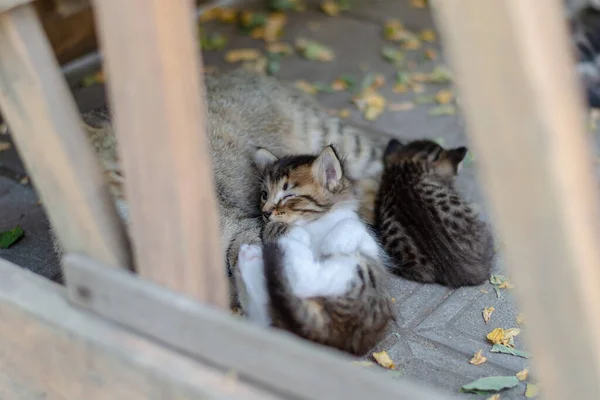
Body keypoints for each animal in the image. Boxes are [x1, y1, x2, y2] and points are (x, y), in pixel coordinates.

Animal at [237, 145, 396, 354]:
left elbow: (348, 223)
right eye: (264, 195)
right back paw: (258, 254)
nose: (265, 212)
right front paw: (294, 233)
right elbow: (272, 227)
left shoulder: (367, 238)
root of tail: (330, 337)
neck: (313, 223)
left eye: (289, 196)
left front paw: (333, 243)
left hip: (353, 273)